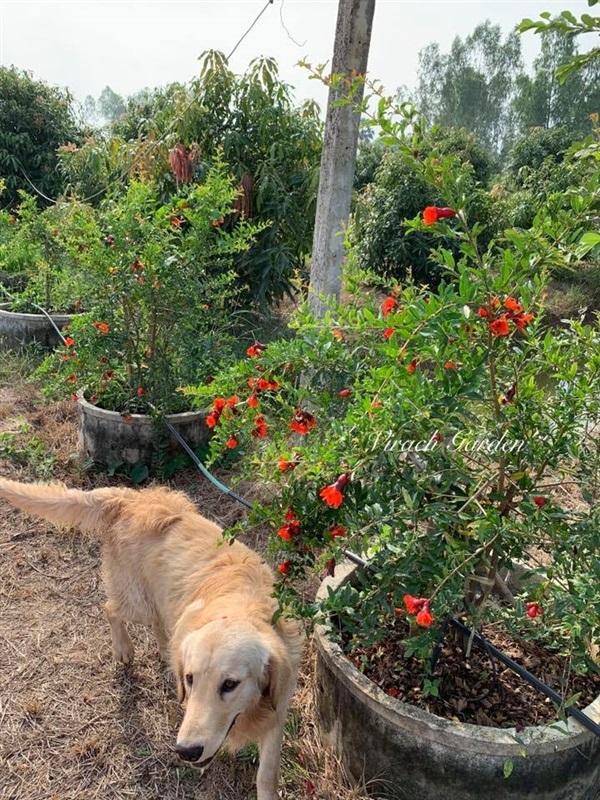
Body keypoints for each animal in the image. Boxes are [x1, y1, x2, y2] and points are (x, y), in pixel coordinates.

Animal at [0, 478, 302, 796]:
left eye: (230, 684)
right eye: (190, 679)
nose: (186, 751)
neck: (241, 606)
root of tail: (128, 498)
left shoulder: (277, 710)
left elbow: (267, 774)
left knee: (158, 625)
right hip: (136, 601)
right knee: (110, 609)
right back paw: (123, 649)